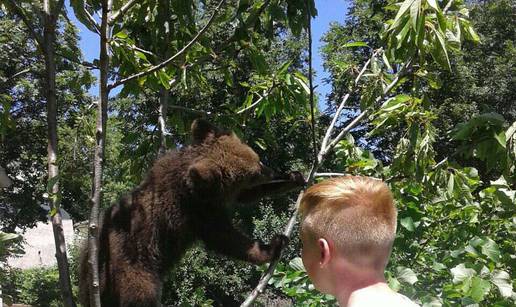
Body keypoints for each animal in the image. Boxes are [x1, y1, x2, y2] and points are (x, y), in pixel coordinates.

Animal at [78, 119, 304, 307]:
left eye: (258, 160)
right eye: (255, 172)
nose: (271, 171)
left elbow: (246, 196)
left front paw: (294, 177)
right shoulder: (195, 211)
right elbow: (225, 238)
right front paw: (272, 246)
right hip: (130, 268)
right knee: (140, 295)